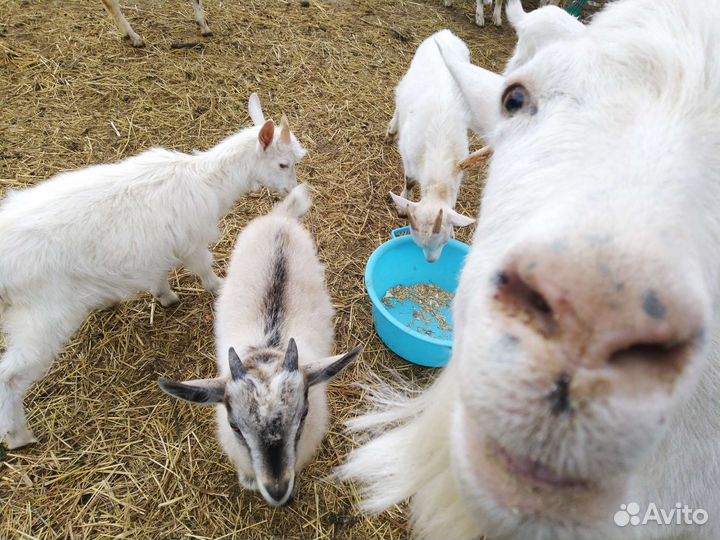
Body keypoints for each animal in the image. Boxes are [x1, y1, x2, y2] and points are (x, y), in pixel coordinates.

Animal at [0, 93, 305, 450]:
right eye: (283, 164)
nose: (291, 188)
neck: (207, 181)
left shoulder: (156, 250)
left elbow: (157, 274)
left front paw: (166, 296)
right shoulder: (192, 241)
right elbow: (204, 268)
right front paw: (218, 288)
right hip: (41, 315)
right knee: (10, 376)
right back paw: (19, 436)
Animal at [159, 184, 362, 506]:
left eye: (303, 414)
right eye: (234, 425)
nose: (277, 490)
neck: (268, 349)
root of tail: (281, 219)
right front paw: (248, 481)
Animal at [387, 30, 476, 263]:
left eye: (444, 242)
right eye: (418, 243)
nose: (431, 261)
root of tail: (445, 32)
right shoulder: (408, 157)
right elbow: (409, 181)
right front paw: (403, 202)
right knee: (399, 102)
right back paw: (391, 130)